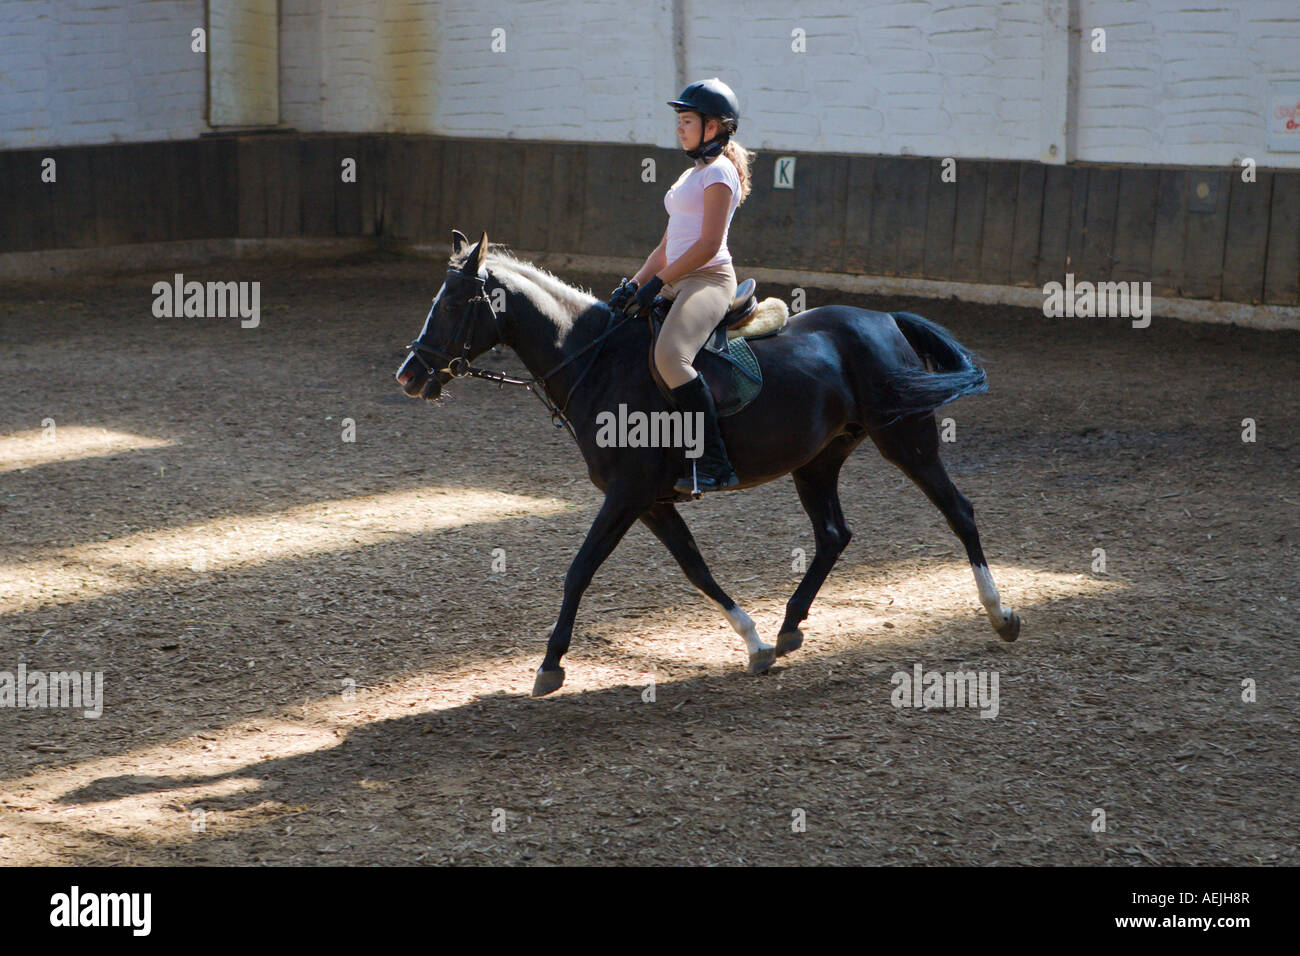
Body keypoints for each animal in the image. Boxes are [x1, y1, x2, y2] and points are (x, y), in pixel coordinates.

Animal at [395, 231, 1024, 697]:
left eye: (453, 304)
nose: (409, 375)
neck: (598, 362)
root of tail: (884, 319)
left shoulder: (626, 494)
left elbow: (580, 569)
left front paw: (549, 665)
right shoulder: (650, 500)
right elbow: (695, 569)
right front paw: (755, 644)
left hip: (905, 439)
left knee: (958, 511)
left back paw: (1001, 615)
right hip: (817, 460)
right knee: (833, 534)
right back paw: (789, 626)